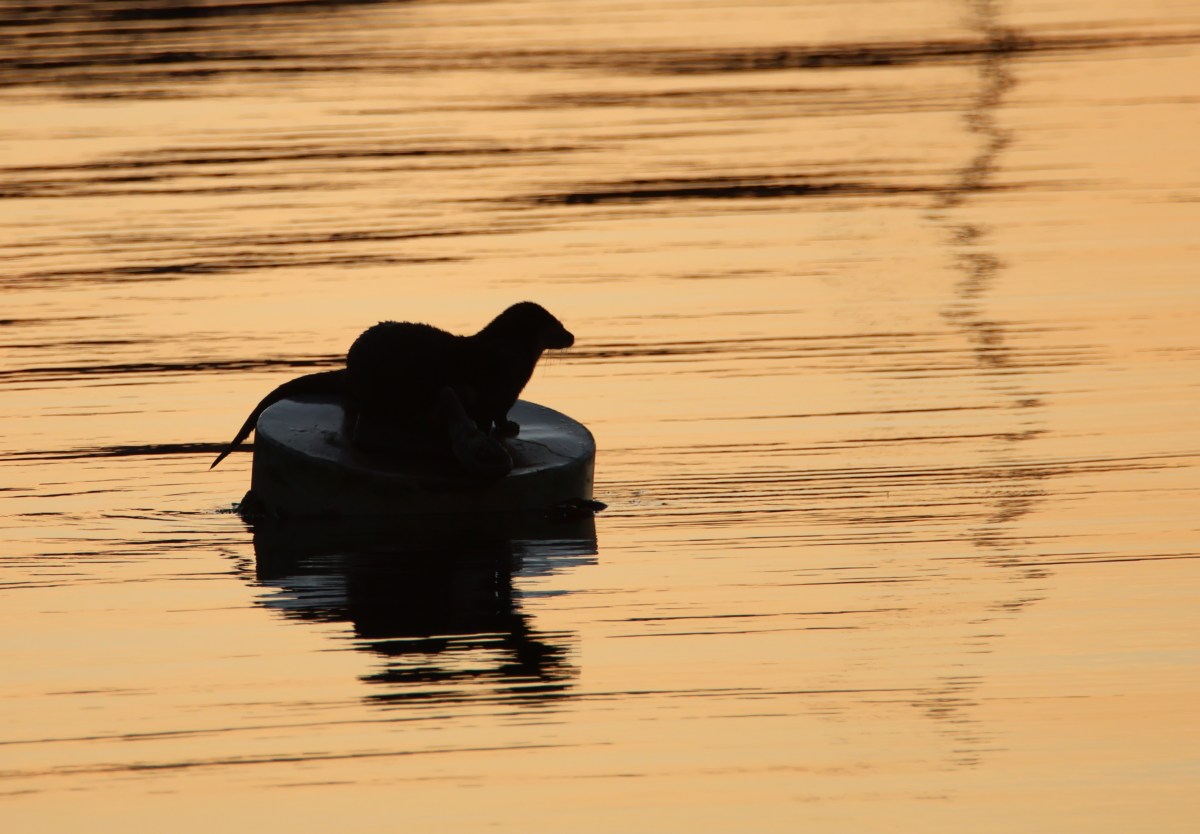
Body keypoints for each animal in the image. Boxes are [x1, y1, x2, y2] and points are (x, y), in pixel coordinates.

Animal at [210, 302, 574, 476]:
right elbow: (492, 416)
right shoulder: (499, 389)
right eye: (556, 326)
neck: (509, 355)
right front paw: (505, 428)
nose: (571, 336)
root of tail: (350, 370)